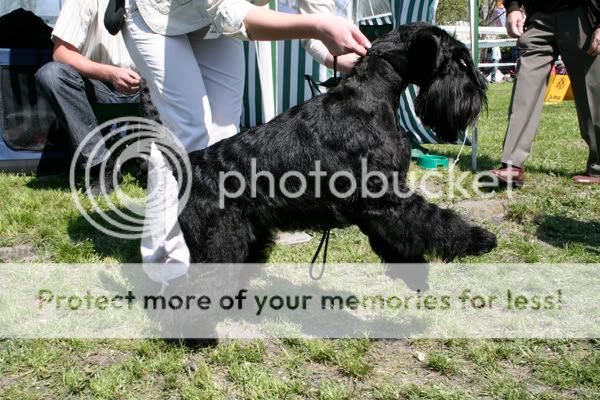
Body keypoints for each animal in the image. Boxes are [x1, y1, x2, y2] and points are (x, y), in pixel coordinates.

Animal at [141, 23, 496, 284]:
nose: (479, 89)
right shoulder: (387, 197)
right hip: (218, 242)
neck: (372, 96)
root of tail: (190, 165)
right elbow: (434, 219)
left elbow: (401, 235)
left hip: (247, 236)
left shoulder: (376, 207)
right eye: (458, 58)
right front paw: (479, 239)